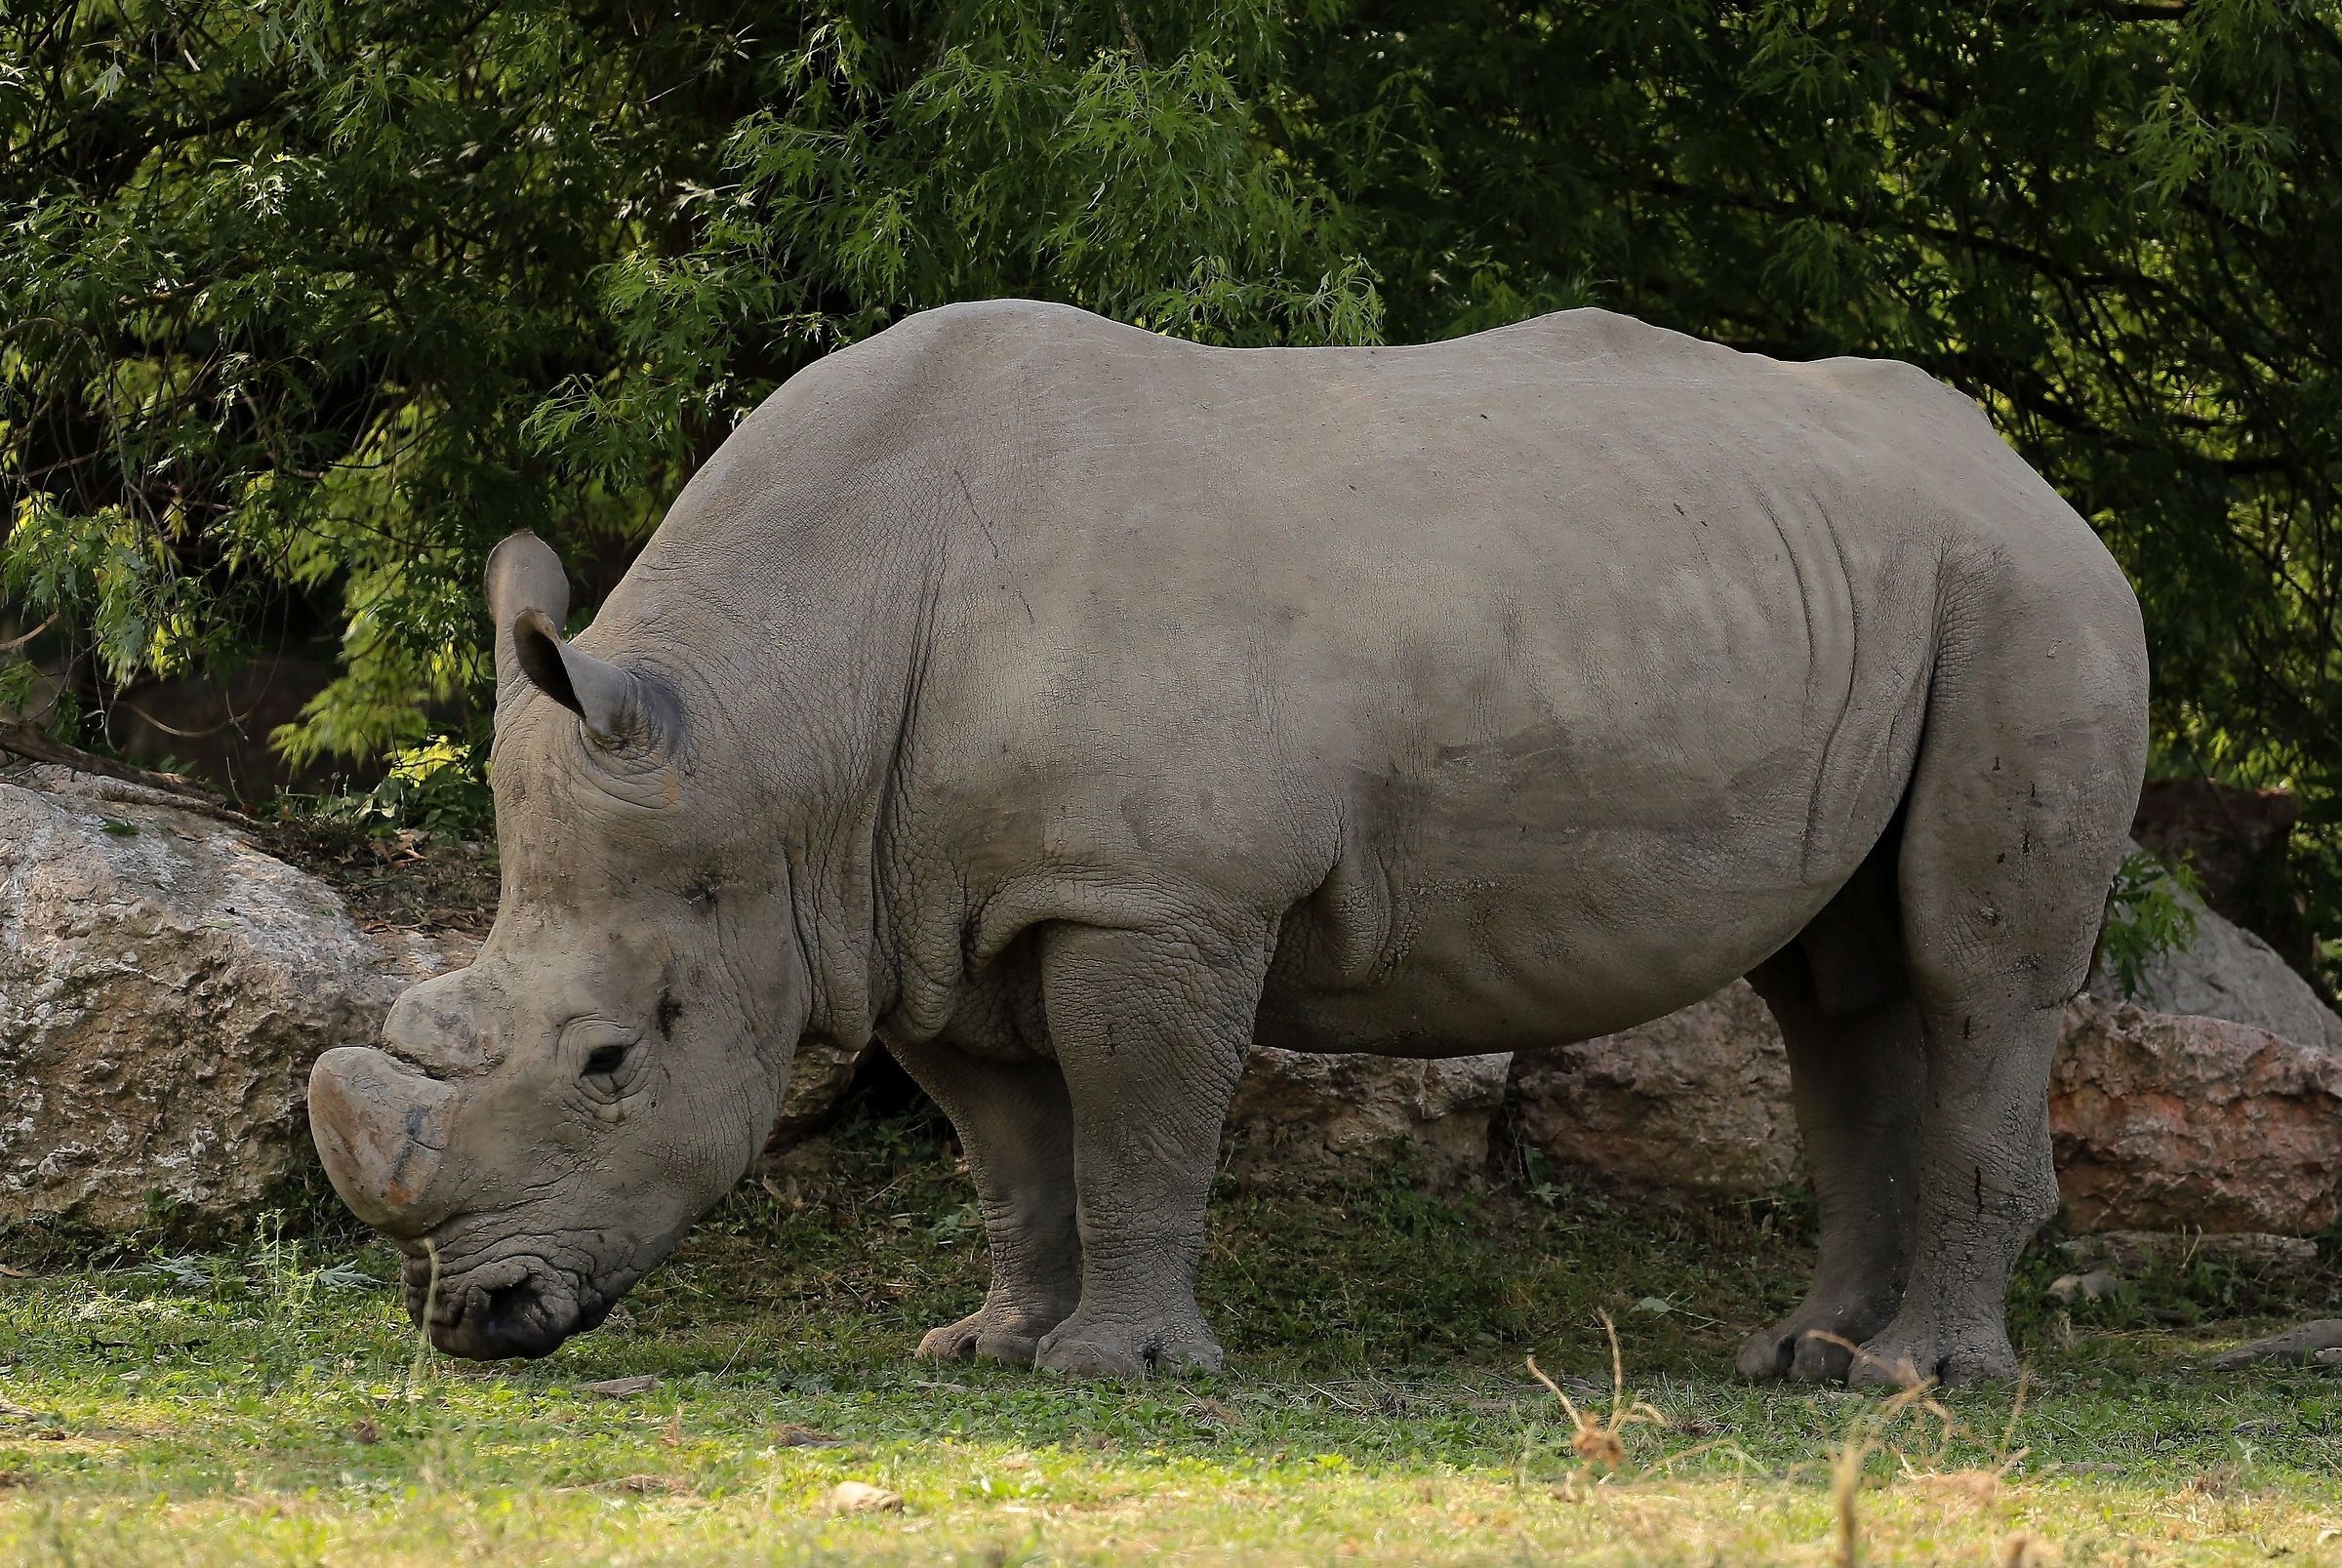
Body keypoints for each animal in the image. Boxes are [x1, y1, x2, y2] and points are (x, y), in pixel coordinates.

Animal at [308, 300, 2147, 1385]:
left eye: (610, 1062)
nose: (471, 1321)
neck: (773, 737)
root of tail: (2023, 467)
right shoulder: (921, 905)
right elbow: (1011, 1149)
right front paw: (987, 1345)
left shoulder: (1151, 893)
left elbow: (1134, 1127)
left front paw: (1115, 1369)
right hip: (1897, 586)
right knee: (1840, 990)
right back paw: (1803, 1359)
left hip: (2031, 602)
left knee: (1978, 976)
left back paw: (1922, 1382)